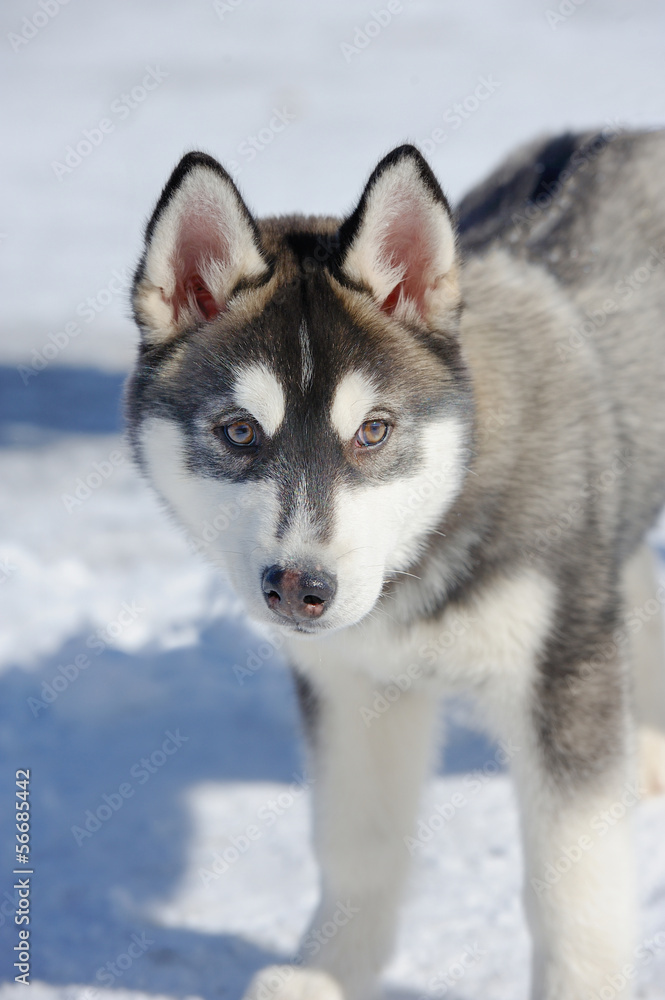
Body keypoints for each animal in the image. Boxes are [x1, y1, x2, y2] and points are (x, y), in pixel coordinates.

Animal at [128, 131, 664, 1000]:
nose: (299, 588)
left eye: (373, 431)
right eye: (239, 432)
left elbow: (571, 882)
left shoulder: (555, 677)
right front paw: (327, 976)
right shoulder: (354, 684)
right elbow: (359, 846)